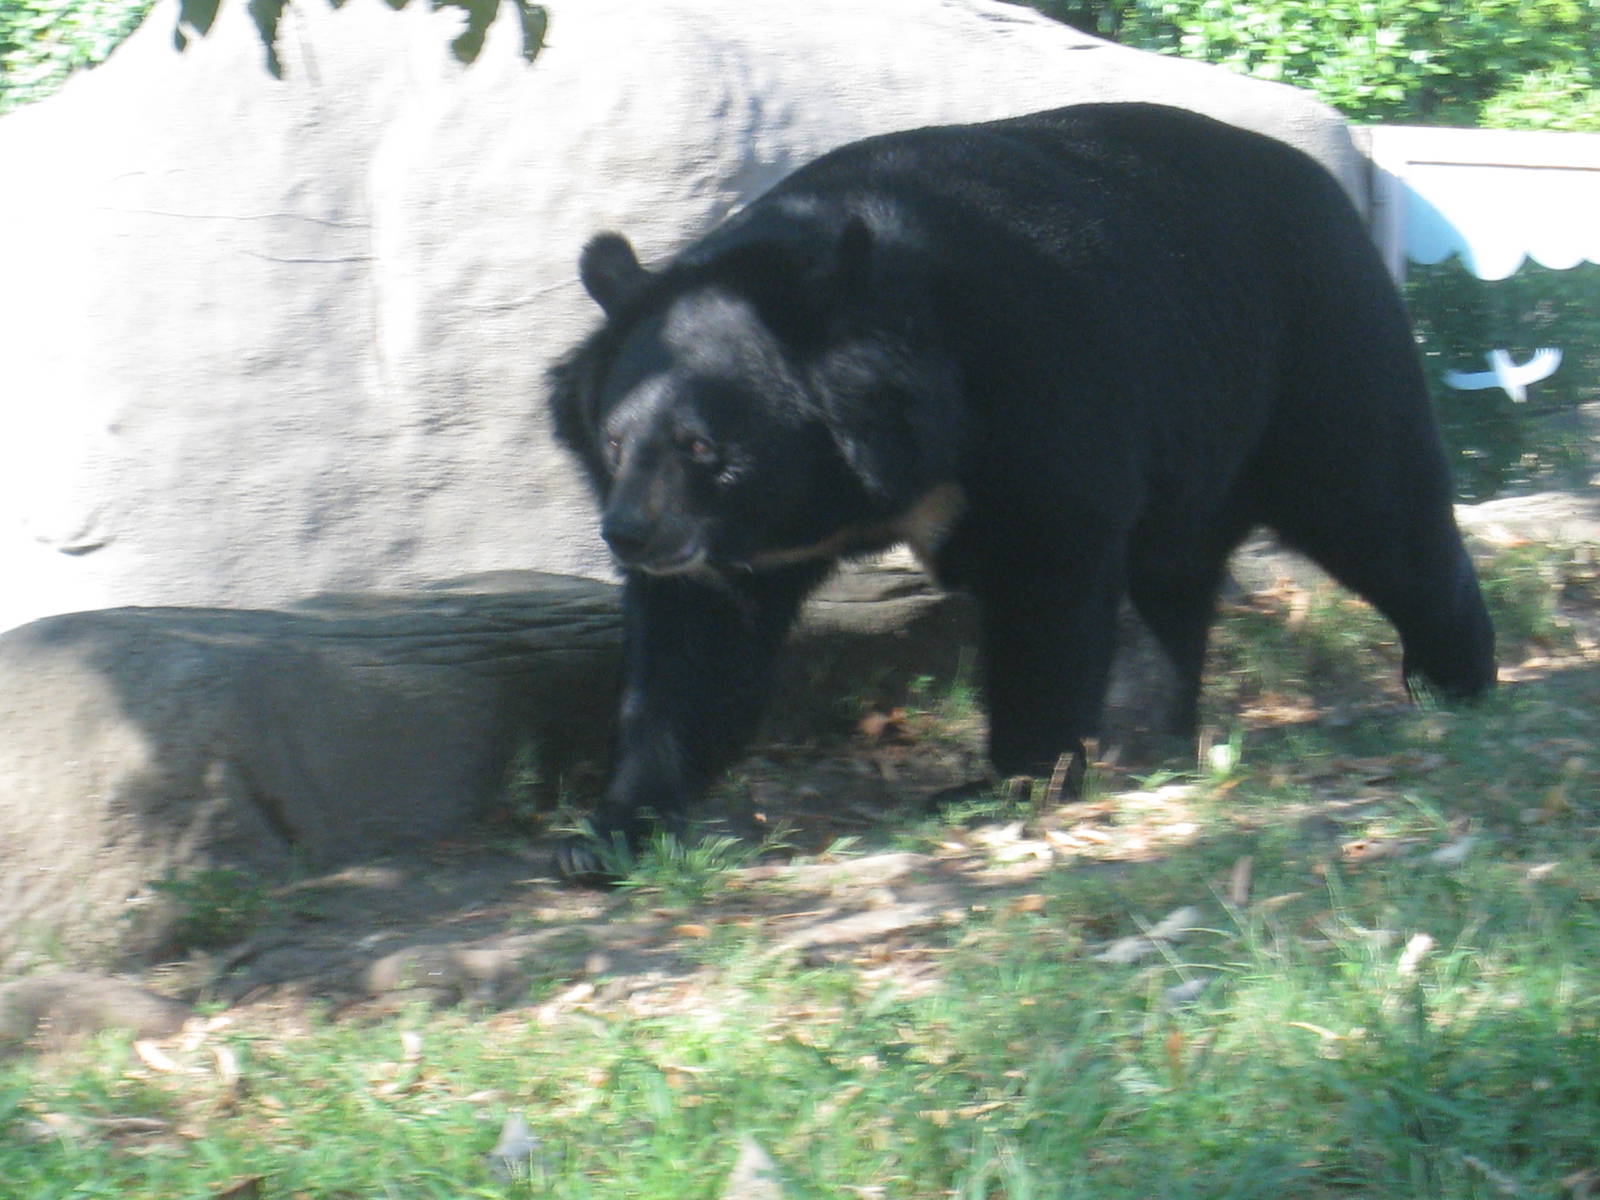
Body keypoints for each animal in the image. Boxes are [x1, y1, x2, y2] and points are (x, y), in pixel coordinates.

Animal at [547, 102, 1496, 881]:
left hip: (1309, 352)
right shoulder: (737, 540)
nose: (628, 534)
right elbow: (697, 643)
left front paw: (1001, 783)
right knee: (1170, 580)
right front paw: (609, 834)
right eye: (615, 439)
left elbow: (1046, 578)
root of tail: (1334, 191)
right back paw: (1150, 741)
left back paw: (1454, 680)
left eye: (703, 446)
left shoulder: (1034, 389)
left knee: (1374, 506)